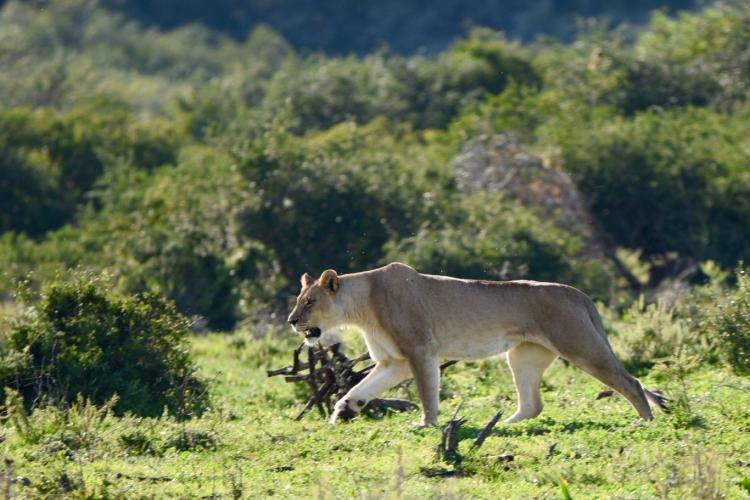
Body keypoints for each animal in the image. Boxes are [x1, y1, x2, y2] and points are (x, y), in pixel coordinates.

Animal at [287, 262, 667, 426]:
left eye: (310, 302)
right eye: (299, 300)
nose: (292, 320)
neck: (361, 308)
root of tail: (578, 293)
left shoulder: (419, 351)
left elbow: (427, 393)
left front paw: (427, 424)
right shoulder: (394, 361)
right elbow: (362, 388)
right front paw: (343, 410)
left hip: (580, 345)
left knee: (630, 382)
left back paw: (644, 423)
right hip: (523, 357)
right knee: (533, 405)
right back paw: (506, 425)